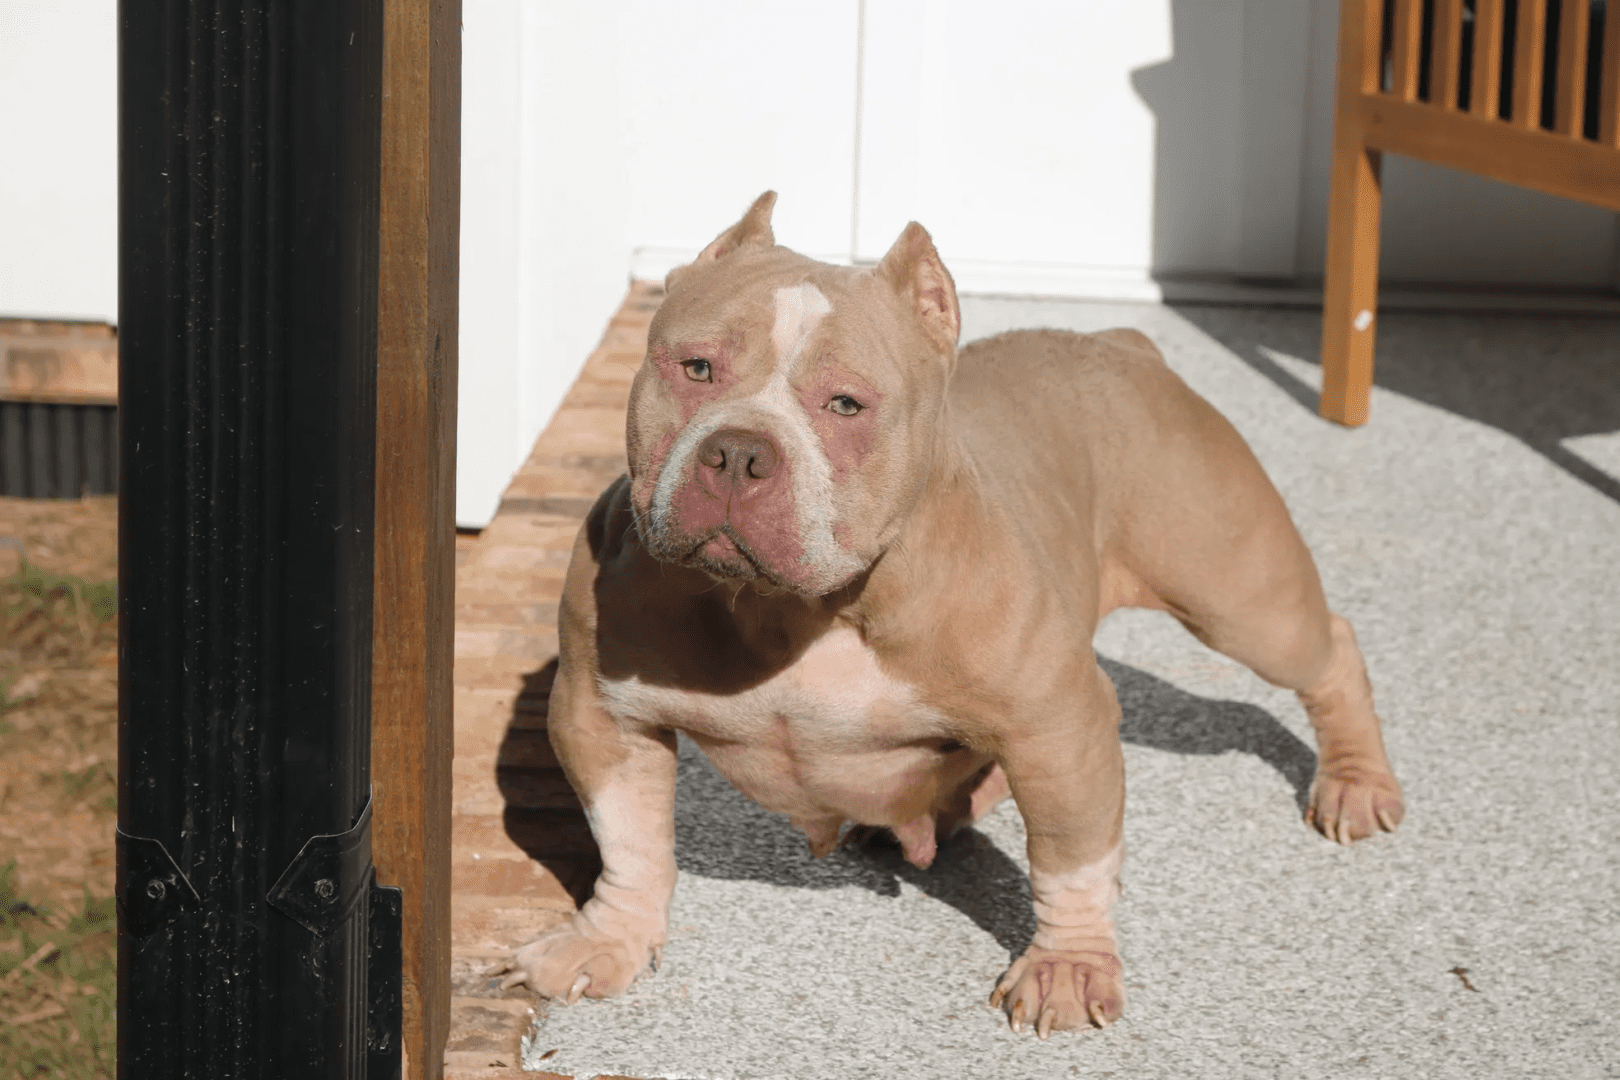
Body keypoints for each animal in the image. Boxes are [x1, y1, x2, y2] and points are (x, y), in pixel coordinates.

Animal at [495, 194, 1406, 1036]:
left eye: (846, 405)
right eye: (695, 368)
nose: (740, 451)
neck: (796, 610)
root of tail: (1121, 342)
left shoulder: (1057, 726)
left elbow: (1071, 857)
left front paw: (1068, 965)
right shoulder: (601, 711)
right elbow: (630, 839)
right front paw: (607, 938)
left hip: (1237, 595)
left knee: (1328, 648)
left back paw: (1355, 779)